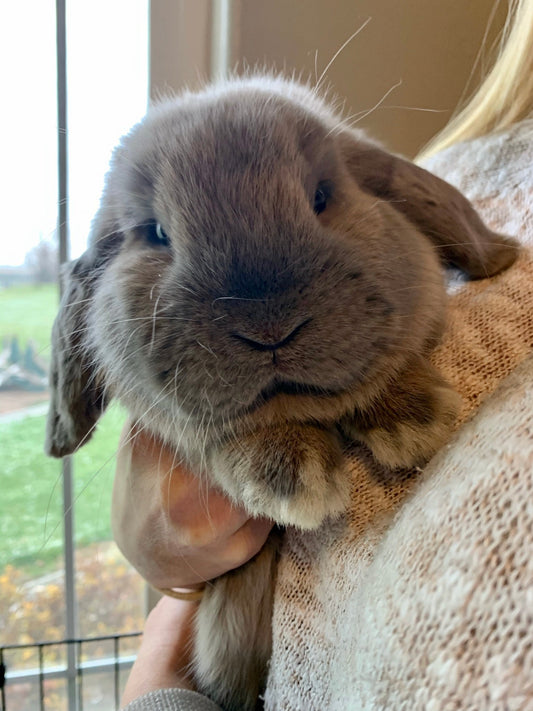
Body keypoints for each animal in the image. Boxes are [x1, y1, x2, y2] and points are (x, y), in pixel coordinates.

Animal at [45, 75, 518, 710]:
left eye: (322, 197)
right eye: (156, 234)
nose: (269, 328)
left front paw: (412, 419)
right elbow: (225, 436)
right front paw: (293, 474)